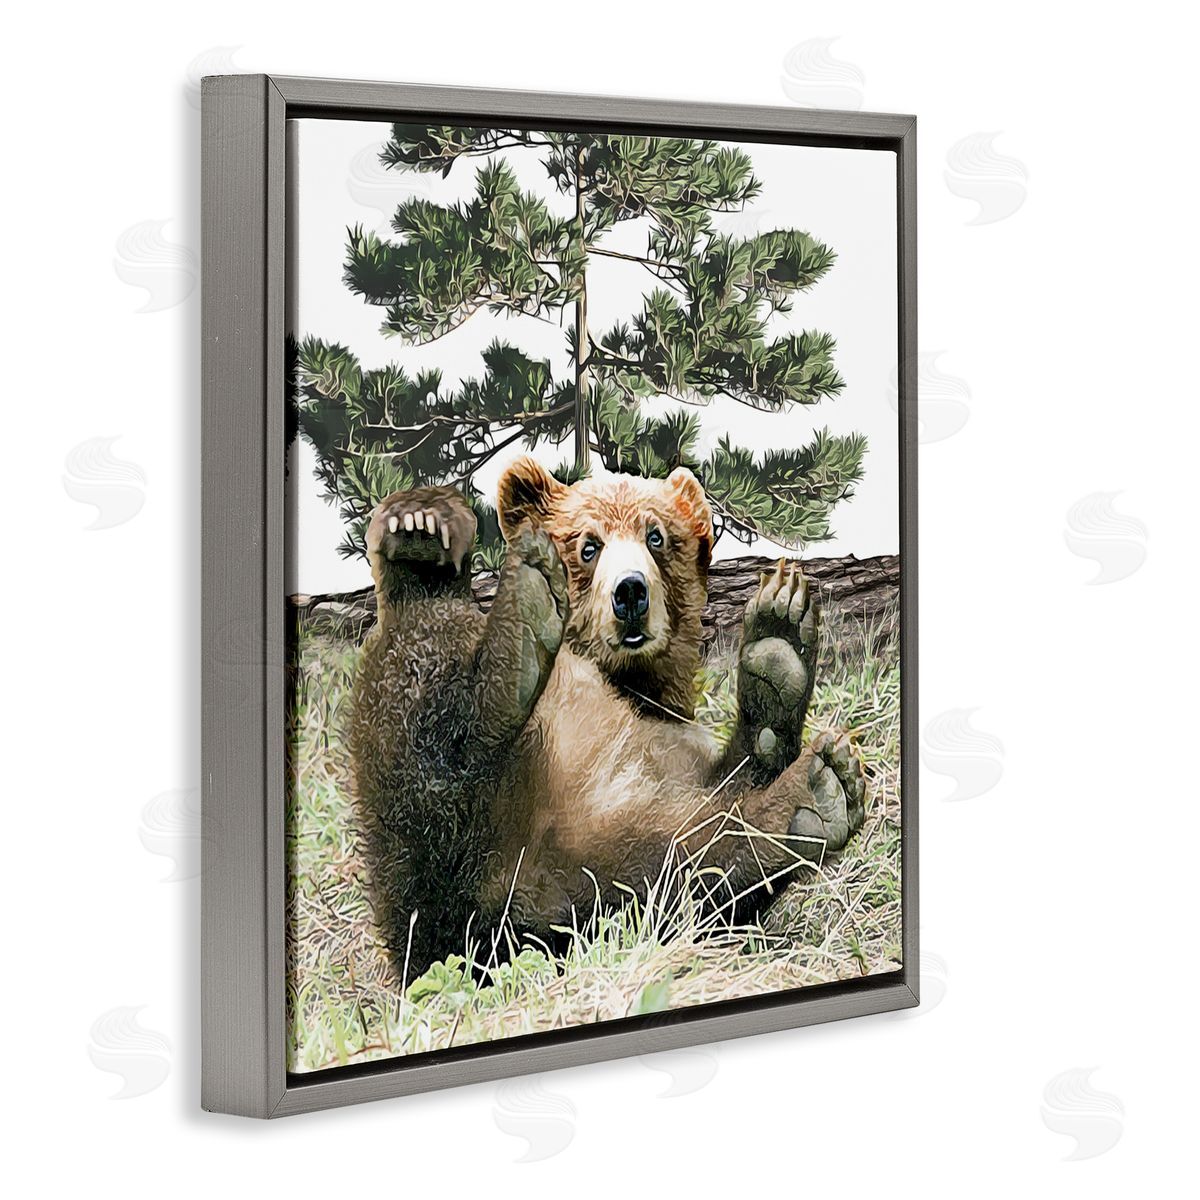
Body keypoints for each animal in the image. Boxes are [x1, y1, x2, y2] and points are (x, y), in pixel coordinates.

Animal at [348, 457, 867, 977]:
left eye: (656, 536)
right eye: (588, 545)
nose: (630, 591)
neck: (629, 683)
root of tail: (505, 884)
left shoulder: (669, 750)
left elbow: (716, 812)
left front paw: (777, 654)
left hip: (578, 872)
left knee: (676, 863)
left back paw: (811, 787)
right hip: (444, 866)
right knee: (421, 691)